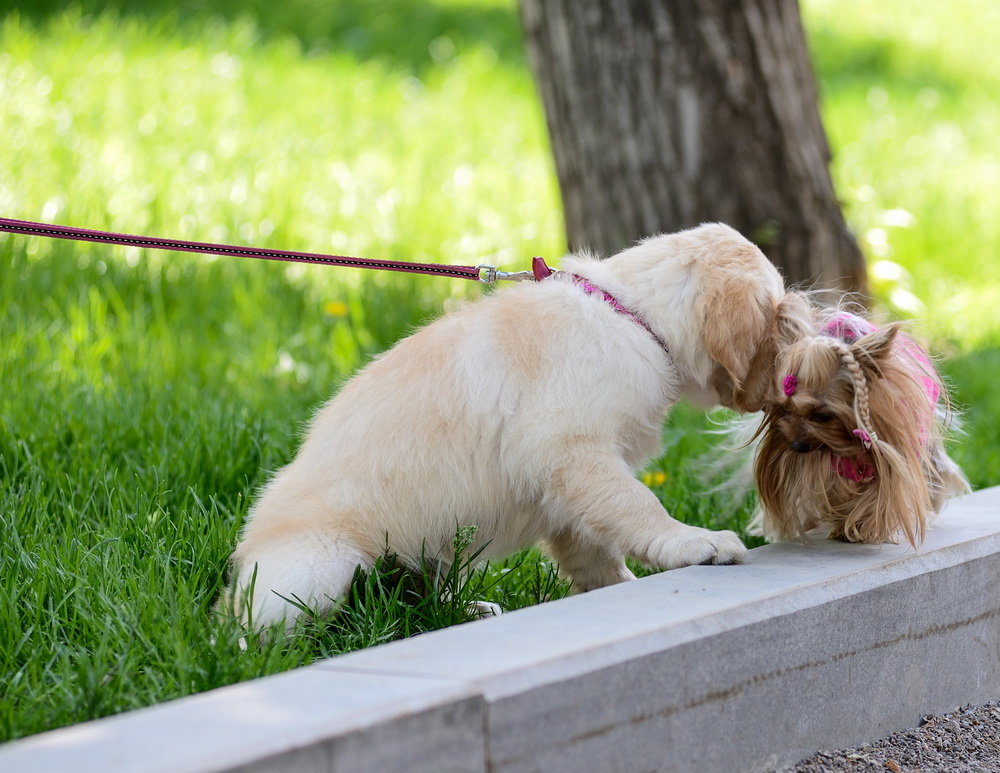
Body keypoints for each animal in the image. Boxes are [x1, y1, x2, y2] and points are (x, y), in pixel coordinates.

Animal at [227, 222, 788, 628]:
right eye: (778, 316)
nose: (783, 389)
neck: (631, 317)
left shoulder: (566, 482)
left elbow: (593, 546)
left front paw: (618, 586)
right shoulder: (571, 450)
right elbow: (637, 504)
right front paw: (693, 543)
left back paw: (464, 610)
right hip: (318, 568)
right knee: (256, 626)